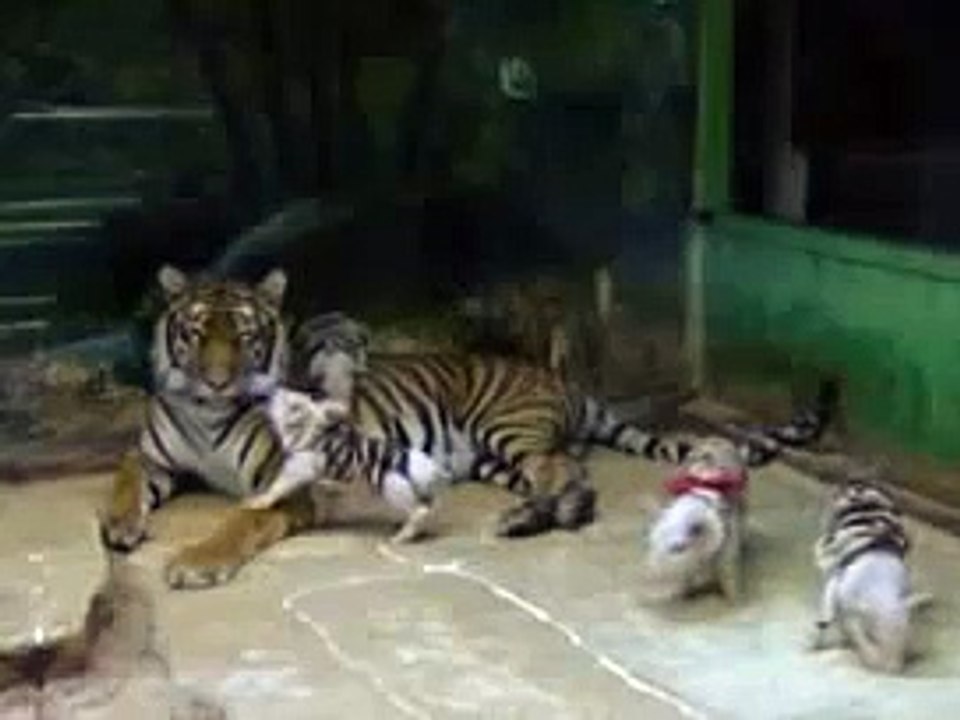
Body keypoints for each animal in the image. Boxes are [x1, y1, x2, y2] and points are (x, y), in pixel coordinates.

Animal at [245, 387, 452, 544]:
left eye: (291, 404)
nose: (272, 392)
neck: (309, 434)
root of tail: (430, 468)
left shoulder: (299, 468)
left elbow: (278, 486)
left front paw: (257, 503)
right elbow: (322, 493)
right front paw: (321, 512)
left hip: (392, 487)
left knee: (419, 511)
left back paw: (398, 538)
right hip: (419, 491)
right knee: (430, 508)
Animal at [290, 312, 840, 539]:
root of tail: (563, 382)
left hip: (504, 425)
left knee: (556, 471)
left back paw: (529, 519)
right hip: (488, 457)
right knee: (568, 475)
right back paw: (549, 515)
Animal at [807, 480, 932, 674]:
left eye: (905, 640)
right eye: (871, 636)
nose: (891, 670)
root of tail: (860, 483)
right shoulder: (839, 582)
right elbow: (826, 612)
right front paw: (815, 645)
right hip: (830, 521)